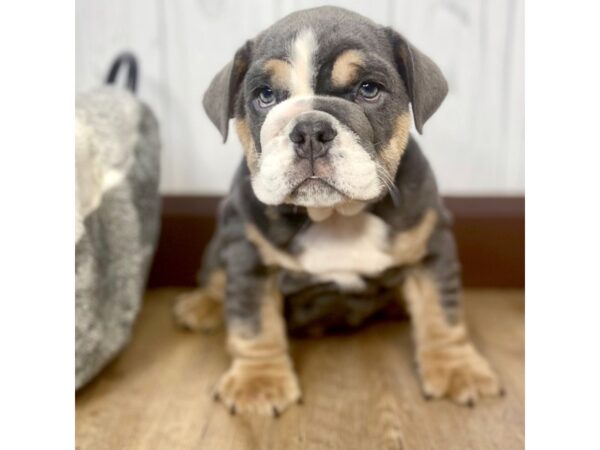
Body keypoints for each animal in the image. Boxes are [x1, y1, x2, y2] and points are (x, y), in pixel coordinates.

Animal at [173, 5, 502, 416]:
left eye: (369, 90)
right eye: (265, 95)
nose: (310, 129)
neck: (335, 216)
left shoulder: (431, 245)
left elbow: (442, 311)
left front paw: (458, 369)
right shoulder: (247, 255)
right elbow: (253, 321)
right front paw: (259, 382)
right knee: (217, 279)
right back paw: (201, 306)